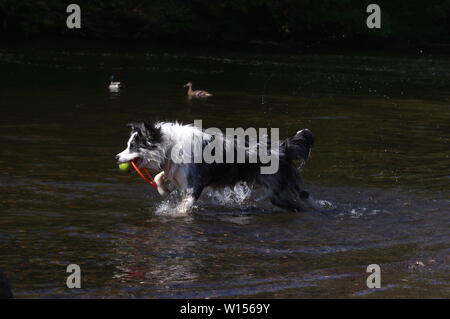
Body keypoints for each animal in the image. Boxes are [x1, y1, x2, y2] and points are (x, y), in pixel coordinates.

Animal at [116, 122, 318, 215]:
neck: (169, 146)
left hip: (278, 192)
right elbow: (160, 176)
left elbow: (182, 208)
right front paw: (163, 190)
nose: (116, 157)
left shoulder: (194, 185)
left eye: (133, 146)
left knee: (300, 203)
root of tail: (282, 146)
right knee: (304, 196)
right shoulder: (176, 170)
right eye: (128, 145)